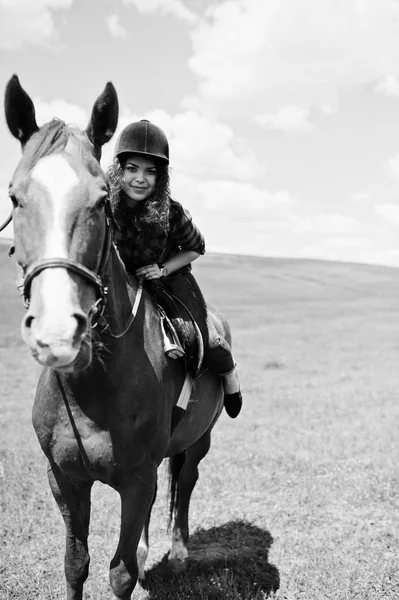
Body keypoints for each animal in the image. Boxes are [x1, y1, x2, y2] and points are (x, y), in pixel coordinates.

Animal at [4, 76, 231, 600]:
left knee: (184, 482)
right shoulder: (64, 479)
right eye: (15, 198)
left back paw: (180, 552)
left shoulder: (135, 479)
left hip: (200, 441)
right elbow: (76, 564)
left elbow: (120, 572)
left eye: (100, 201)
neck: (93, 388)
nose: (57, 331)